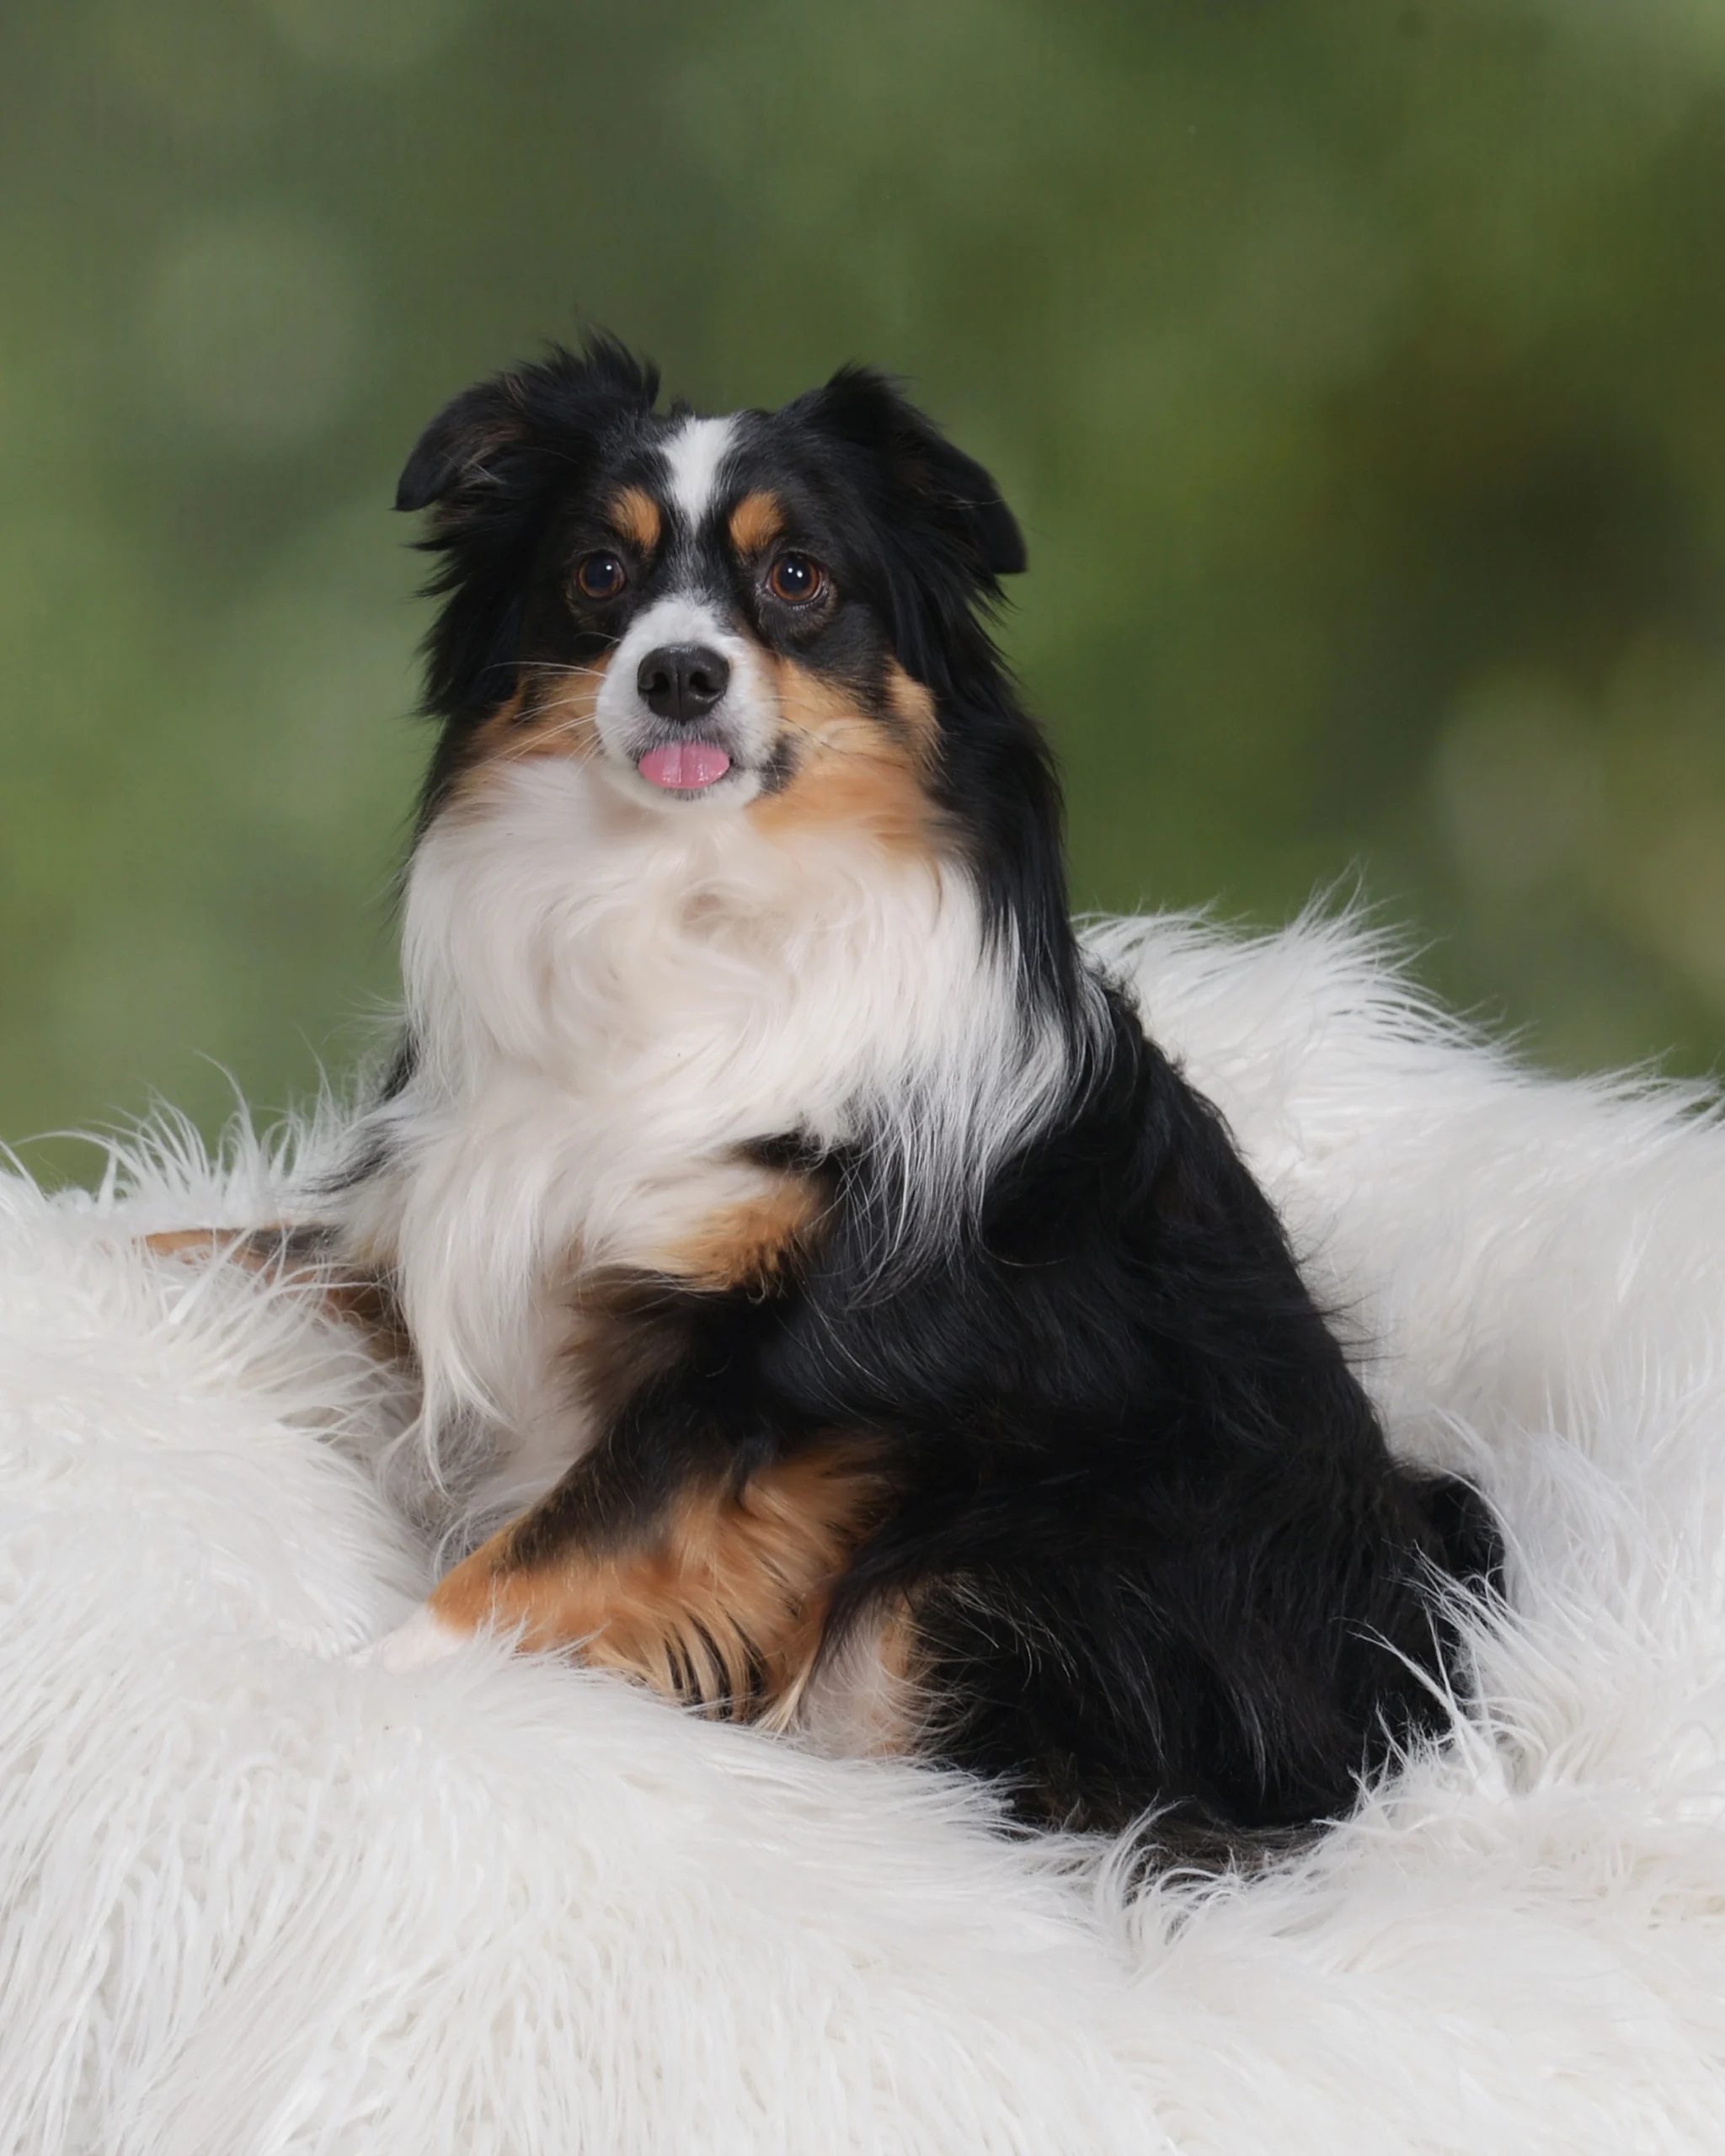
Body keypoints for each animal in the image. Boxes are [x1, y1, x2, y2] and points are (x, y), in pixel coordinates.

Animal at [157, 336, 1501, 1841]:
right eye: (598, 572)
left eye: (798, 577)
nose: (680, 675)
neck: (683, 899)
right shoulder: (460, 1239)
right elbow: (221, 1247)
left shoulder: (776, 1372)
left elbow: (541, 1553)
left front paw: (361, 1688)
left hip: (1008, 1559)